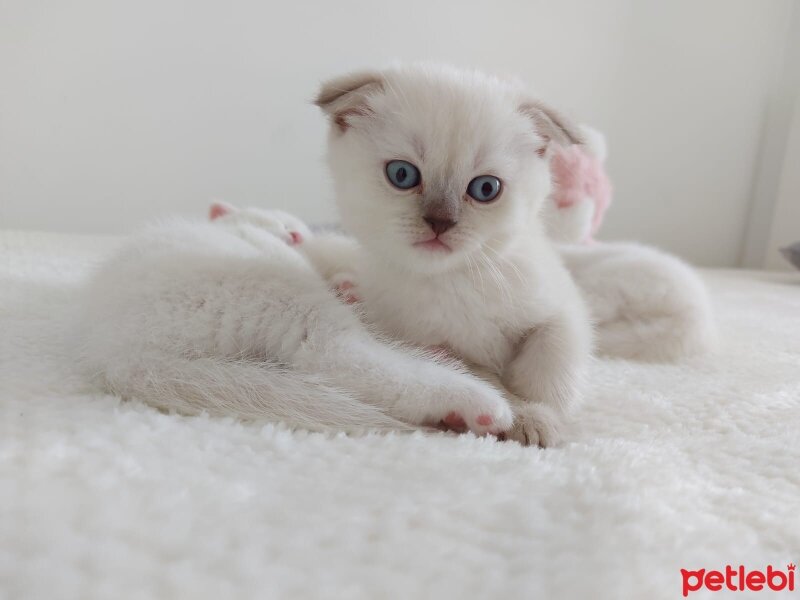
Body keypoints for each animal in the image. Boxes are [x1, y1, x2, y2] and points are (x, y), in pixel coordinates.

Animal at [75, 207, 512, 436]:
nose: (297, 235)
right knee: (344, 358)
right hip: (279, 295)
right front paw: (348, 286)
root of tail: (121, 355)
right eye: (292, 230)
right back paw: (471, 401)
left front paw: (347, 284)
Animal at [312, 65, 592, 448]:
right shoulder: (432, 347)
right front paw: (523, 417)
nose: (440, 222)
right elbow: (486, 380)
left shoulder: (559, 307)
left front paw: (542, 418)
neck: (455, 279)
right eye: (402, 174)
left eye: (486, 189)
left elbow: (551, 363)